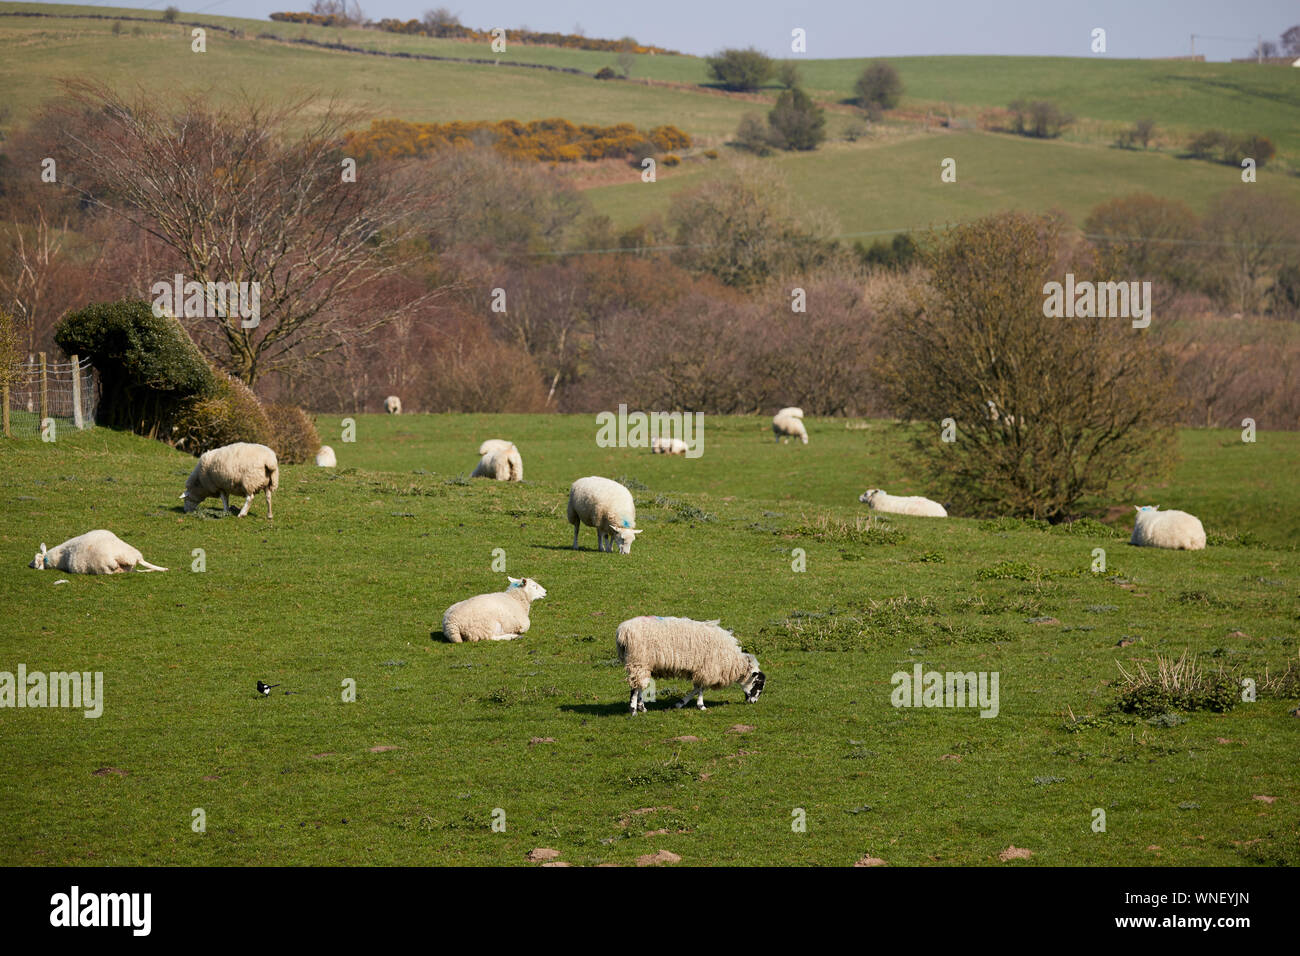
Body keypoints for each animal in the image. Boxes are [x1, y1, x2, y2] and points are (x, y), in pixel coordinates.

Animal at [616, 616, 764, 712]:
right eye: (758, 684)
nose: (754, 702)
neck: (732, 661)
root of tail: (622, 632)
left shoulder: (702, 670)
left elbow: (697, 688)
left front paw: (680, 703)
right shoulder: (708, 669)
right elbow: (701, 688)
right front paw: (701, 705)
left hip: (642, 663)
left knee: (639, 684)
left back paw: (641, 707)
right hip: (638, 660)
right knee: (635, 687)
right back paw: (633, 709)